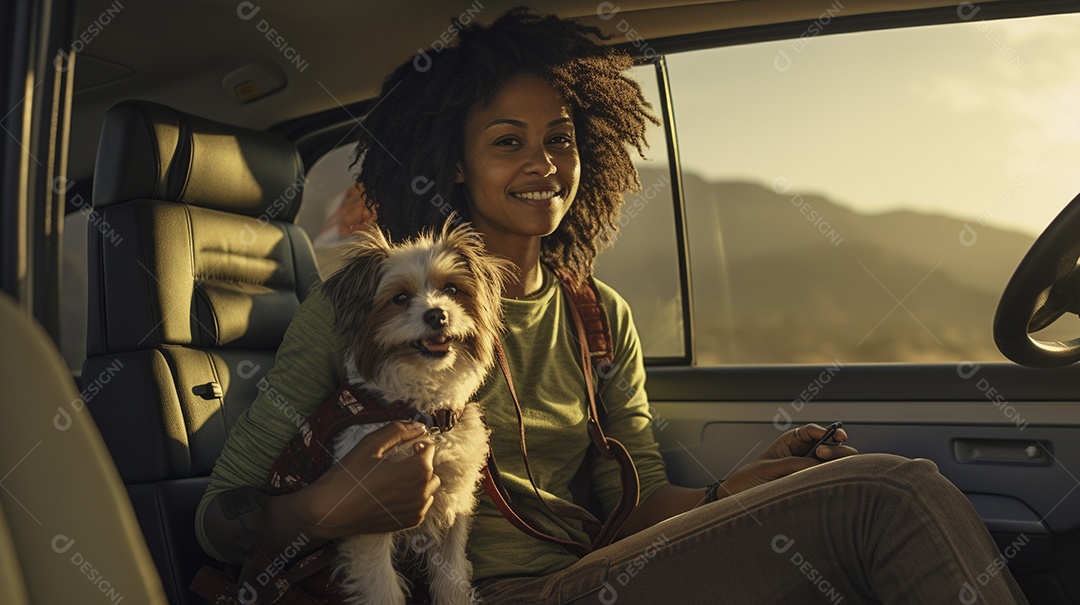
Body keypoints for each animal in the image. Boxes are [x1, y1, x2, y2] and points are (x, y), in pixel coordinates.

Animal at [317, 217, 511, 605]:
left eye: (451, 289)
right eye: (400, 298)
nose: (437, 315)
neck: (426, 413)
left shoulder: (453, 506)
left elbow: (452, 582)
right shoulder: (371, 520)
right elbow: (382, 589)